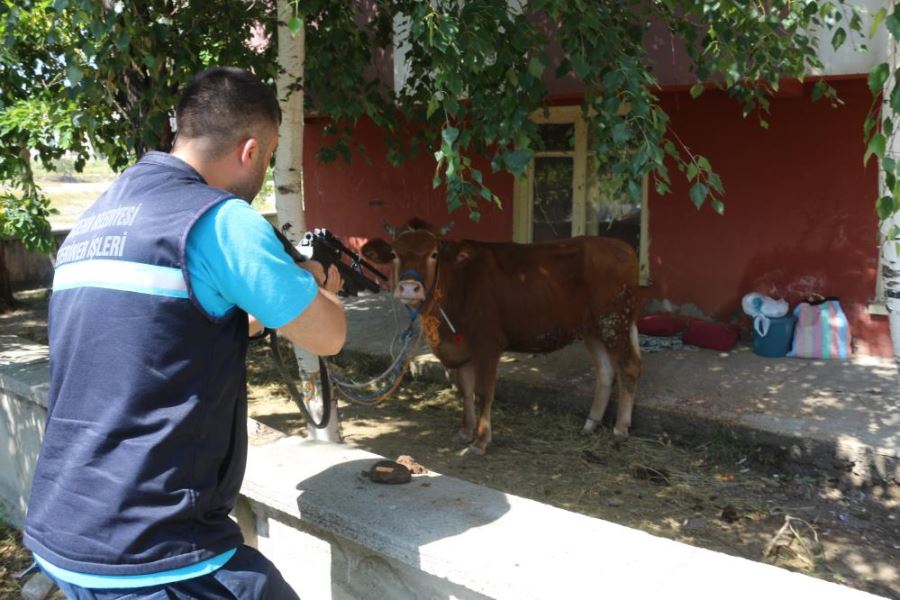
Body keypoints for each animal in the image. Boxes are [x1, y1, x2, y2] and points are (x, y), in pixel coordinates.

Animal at [362, 219, 644, 454]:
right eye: (395, 254)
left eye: (434, 254)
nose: (409, 288)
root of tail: (621, 246)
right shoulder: (459, 349)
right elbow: (465, 391)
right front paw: (465, 432)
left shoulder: (488, 345)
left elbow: (483, 393)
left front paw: (480, 441)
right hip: (592, 328)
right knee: (606, 371)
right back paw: (590, 425)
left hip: (614, 321)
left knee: (628, 367)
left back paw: (620, 429)